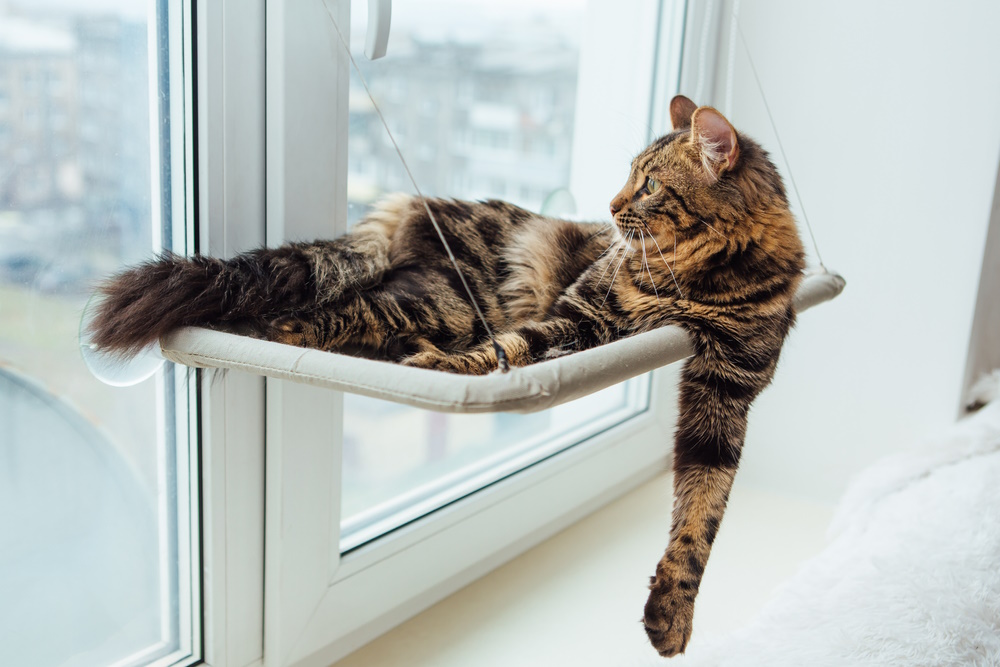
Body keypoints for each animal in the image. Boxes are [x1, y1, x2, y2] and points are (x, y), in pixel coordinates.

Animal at [88, 96, 804, 660]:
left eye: (651, 186)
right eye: (631, 178)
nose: (611, 204)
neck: (698, 286)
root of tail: (411, 202)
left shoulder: (726, 391)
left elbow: (700, 517)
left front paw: (672, 615)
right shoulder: (579, 315)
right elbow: (505, 352)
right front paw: (447, 371)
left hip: (433, 306)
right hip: (443, 299)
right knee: (330, 307)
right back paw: (267, 332)